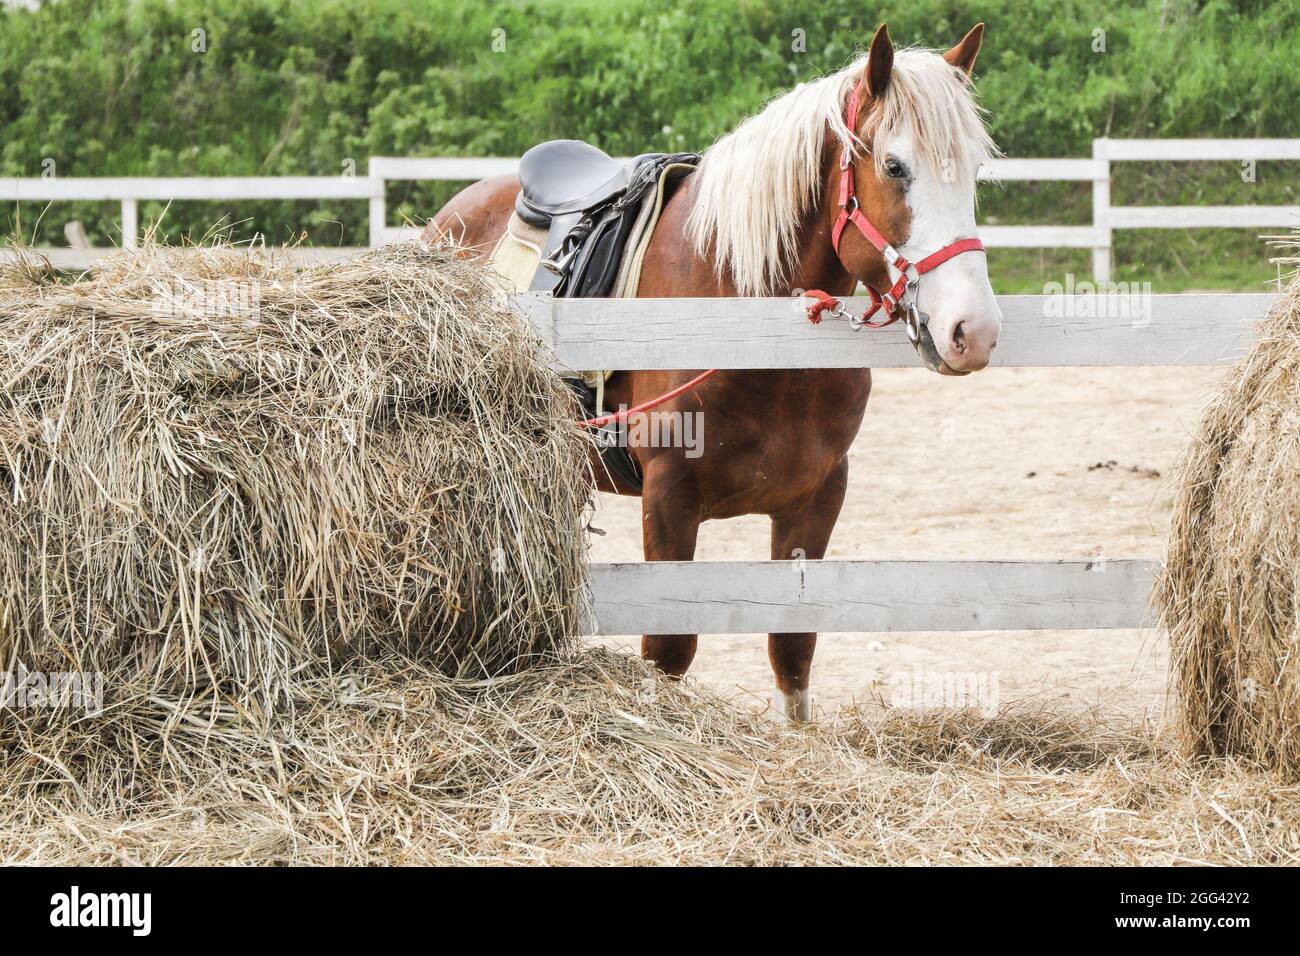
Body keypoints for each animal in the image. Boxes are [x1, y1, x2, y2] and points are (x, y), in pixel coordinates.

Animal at [431, 24, 998, 717]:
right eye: (895, 166)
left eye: (973, 171)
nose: (973, 330)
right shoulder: (668, 500)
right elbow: (668, 653)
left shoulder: (817, 500)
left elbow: (792, 653)